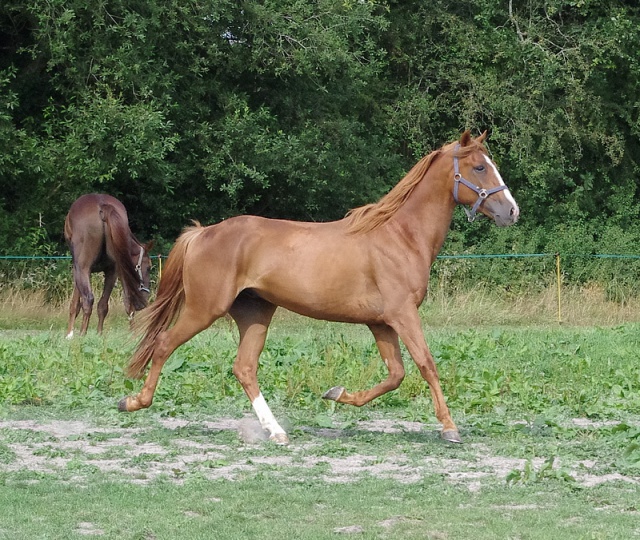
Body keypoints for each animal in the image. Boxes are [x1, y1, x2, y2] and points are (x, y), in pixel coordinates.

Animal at [64, 194, 152, 338]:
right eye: (149, 267)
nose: (145, 297)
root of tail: (103, 206)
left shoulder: (78, 270)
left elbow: (75, 304)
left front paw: (69, 334)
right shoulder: (113, 271)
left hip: (83, 268)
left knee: (88, 300)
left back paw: (82, 334)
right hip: (114, 271)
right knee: (116, 302)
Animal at [120, 131, 520, 442]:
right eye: (480, 167)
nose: (512, 211)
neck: (400, 237)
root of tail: (203, 233)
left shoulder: (381, 322)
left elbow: (395, 375)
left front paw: (336, 394)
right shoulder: (402, 314)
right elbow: (426, 364)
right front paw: (450, 428)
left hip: (255, 313)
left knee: (244, 368)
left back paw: (276, 432)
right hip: (205, 309)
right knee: (164, 344)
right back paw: (134, 401)